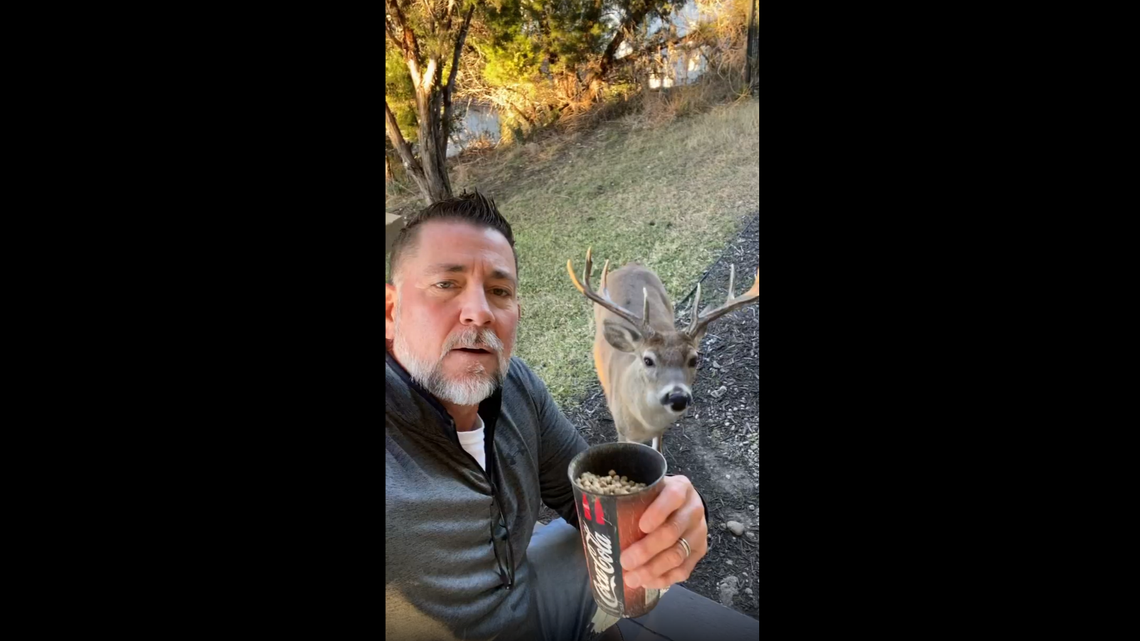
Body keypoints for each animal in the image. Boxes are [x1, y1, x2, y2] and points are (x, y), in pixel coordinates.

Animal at [567, 248, 759, 454]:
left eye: (694, 359)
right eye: (648, 360)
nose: (678, 397)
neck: (644, 423)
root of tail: (630, 264)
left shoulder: (659, 430)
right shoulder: (622, 432)